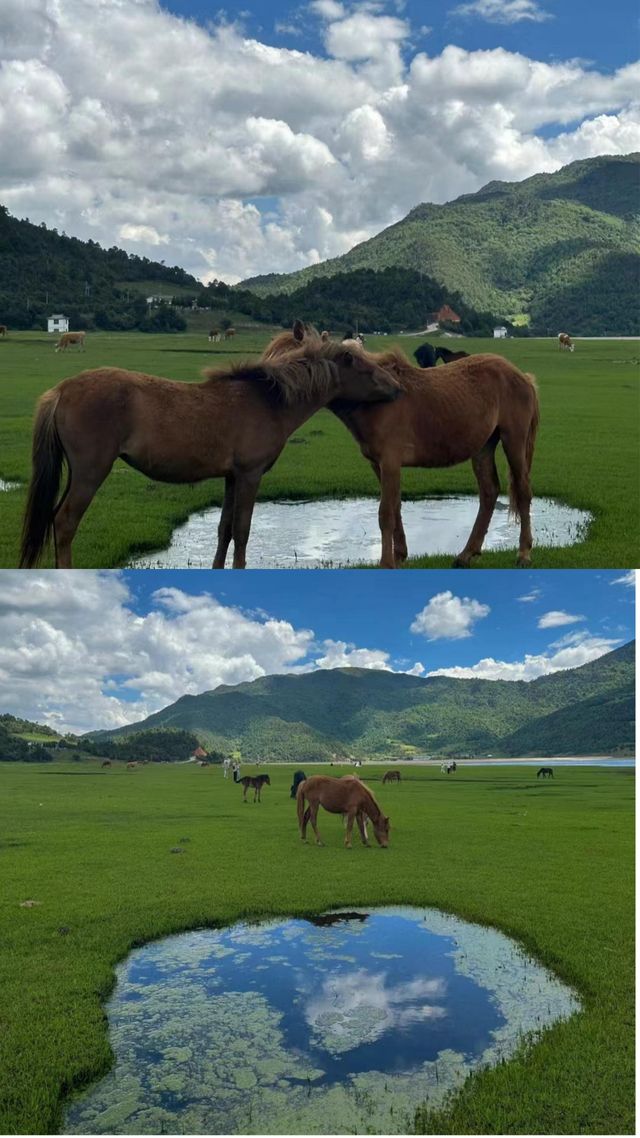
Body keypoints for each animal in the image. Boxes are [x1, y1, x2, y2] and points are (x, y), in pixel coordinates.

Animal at [19, 332, 398, 573]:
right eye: (363, 365)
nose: (396, 388)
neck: (267, 401)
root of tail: (61, 390)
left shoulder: (231, 477)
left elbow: (224, 529)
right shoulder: (249, 475)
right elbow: (243, 531)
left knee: (54, 519)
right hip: (90, 471)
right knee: (65, 522)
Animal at [264, 323, 537, 569]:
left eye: (292, 360)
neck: (375, 399)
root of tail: (522, 376)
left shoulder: (390, 462)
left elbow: (385, 513)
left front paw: (386, 563)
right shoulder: (379, 464)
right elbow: (395, 507)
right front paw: (400, 554)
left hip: (513, 440)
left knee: (523, 490)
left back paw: (523, 553)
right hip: (483, 447)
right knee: (489, 492)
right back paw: (466, 554)